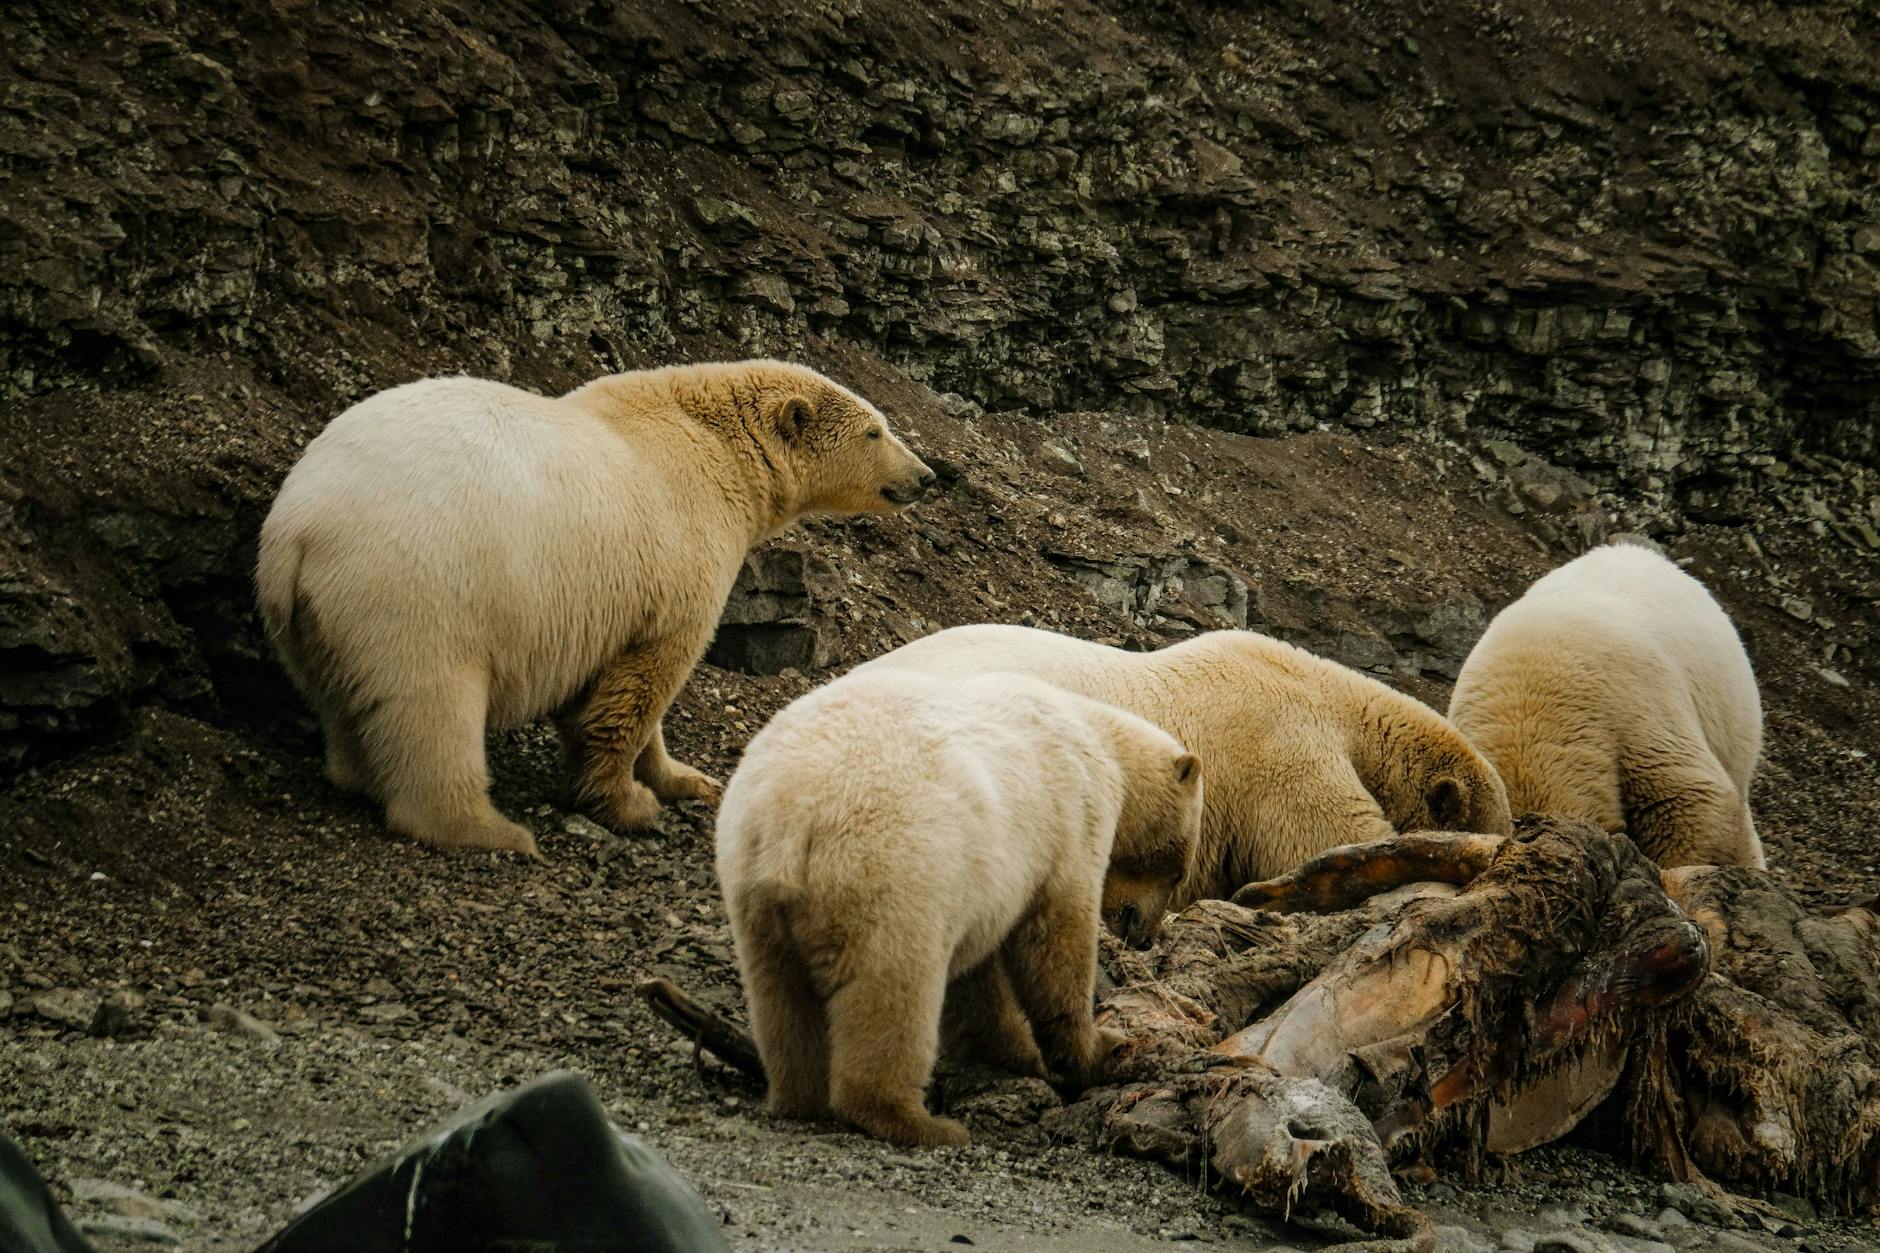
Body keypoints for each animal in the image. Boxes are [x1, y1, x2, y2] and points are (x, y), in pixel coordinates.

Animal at [256, 359, 934, 856]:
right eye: (876, 431)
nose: (928, 476)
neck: (716, 445)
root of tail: (300, 530)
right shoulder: (675, 555)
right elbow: (642, 684)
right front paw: (626, 803)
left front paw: (686, 778)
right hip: (417, 589)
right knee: (432, 706)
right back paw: (492, 830)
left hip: (312, 617)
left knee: (340, 694)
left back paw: (352, 772)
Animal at [715, 668, 1203, 1148]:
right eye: (1178, 873)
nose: (1146, 937)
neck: (1103, 742)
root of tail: (793, 818)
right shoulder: (1072, 819)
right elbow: (1055, 941)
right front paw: (1101, 1048)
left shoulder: (987, 884)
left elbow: (979, 979)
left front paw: (1014, 1051)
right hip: (892, 873)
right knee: (893, 991)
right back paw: (916, 1121)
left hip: (751, 885)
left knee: (778, 993)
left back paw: (800, 1094)